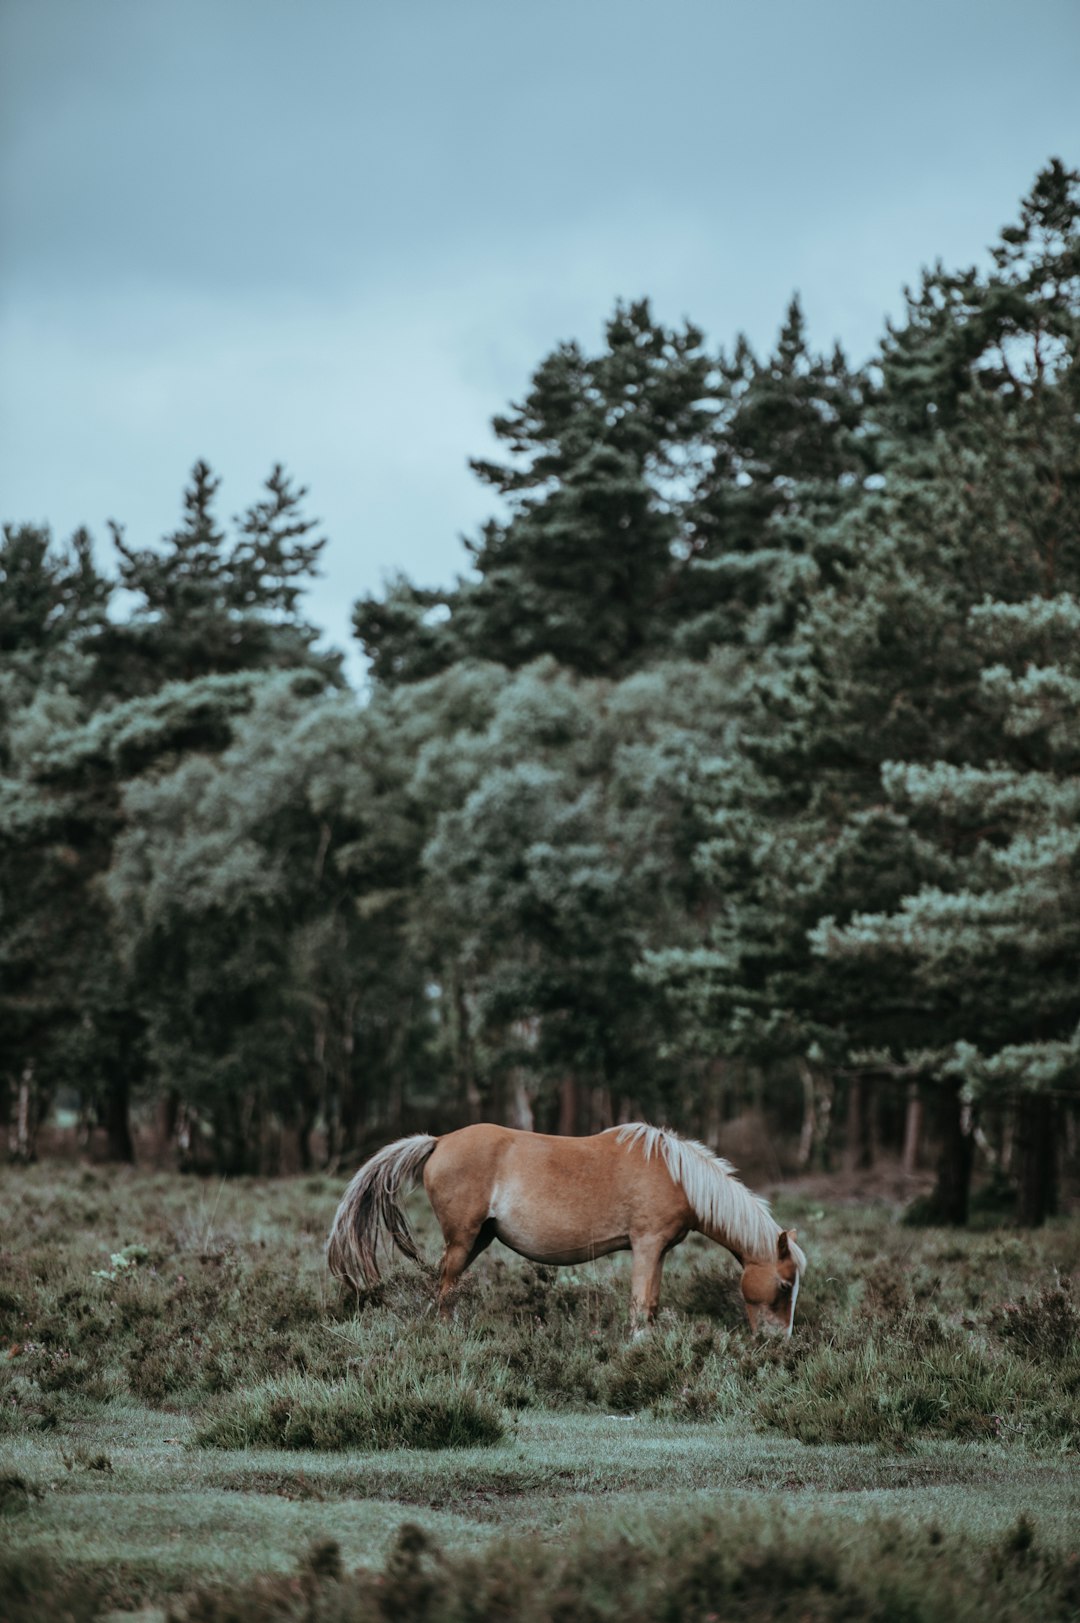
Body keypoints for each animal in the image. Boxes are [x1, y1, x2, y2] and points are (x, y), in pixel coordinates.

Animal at [324, 1123, 805, 1337]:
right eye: (784, 1285)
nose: (779, 1342)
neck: (676, 1174)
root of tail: (439, 1141)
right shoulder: (647, 1245)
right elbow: (641, 1305)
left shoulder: (659, 1251)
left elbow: (649, 1303)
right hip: (462, 1240)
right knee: (445, 1291)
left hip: (478, 1239)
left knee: (445, 1287)